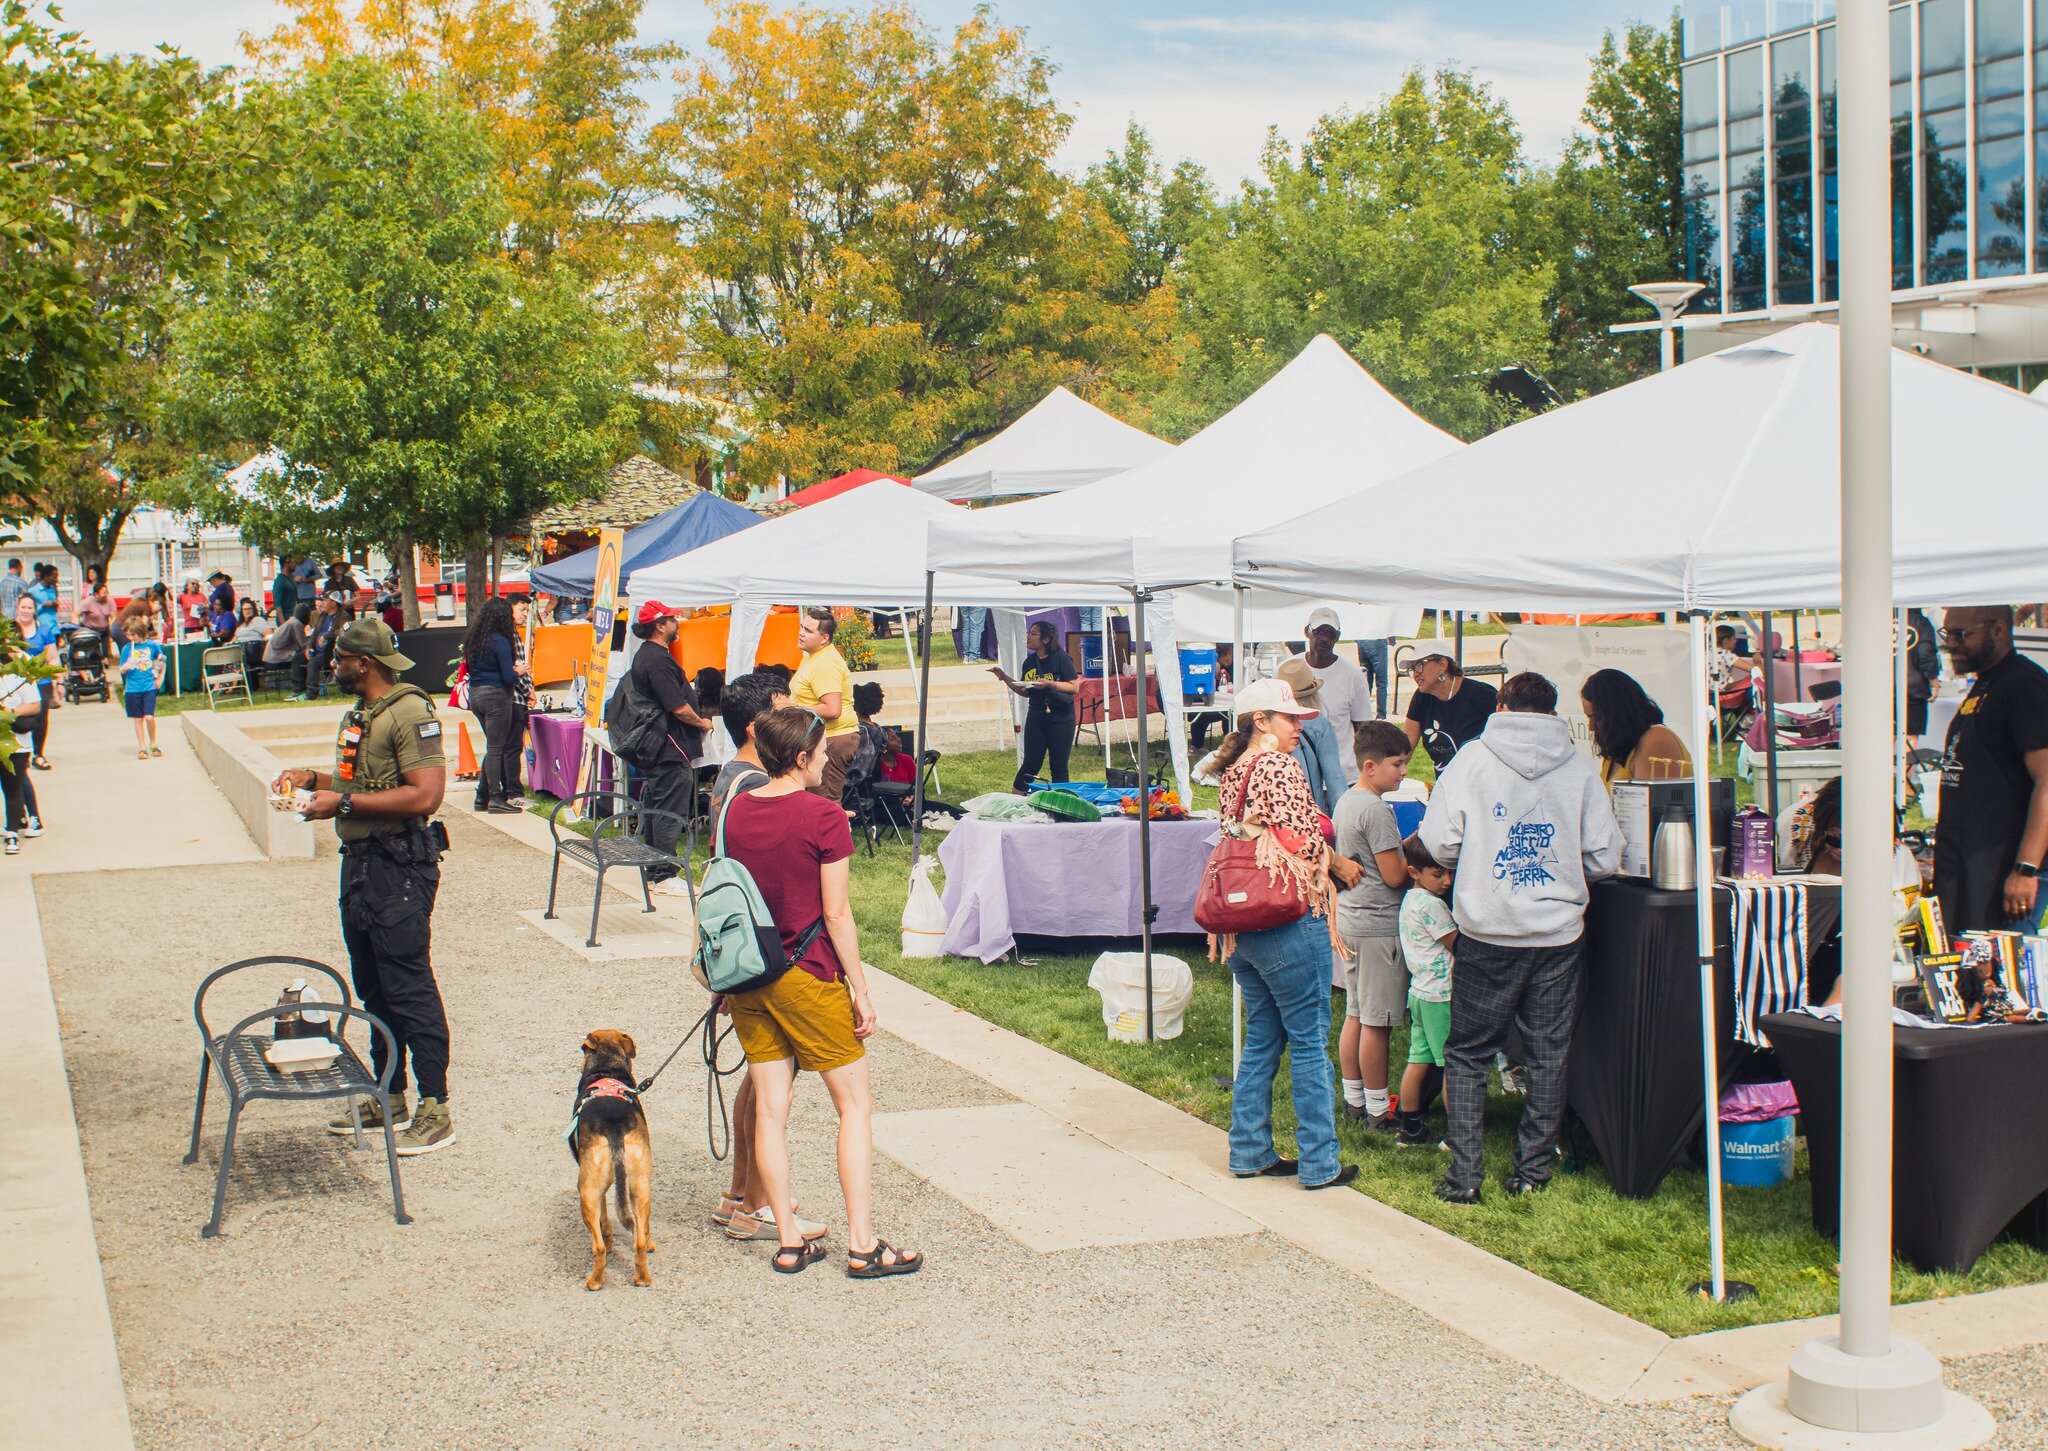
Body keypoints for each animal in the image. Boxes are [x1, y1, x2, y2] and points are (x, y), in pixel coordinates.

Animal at [573, 1032, 651, 1295]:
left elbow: (605, 1218)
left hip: (586, 1191)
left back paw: (595, 1281)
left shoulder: (598, 1189)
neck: (606, 1068)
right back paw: (643, 1276)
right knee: (640, 1238)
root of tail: (614, 1125)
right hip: (640, 1186)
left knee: (598, 1247)